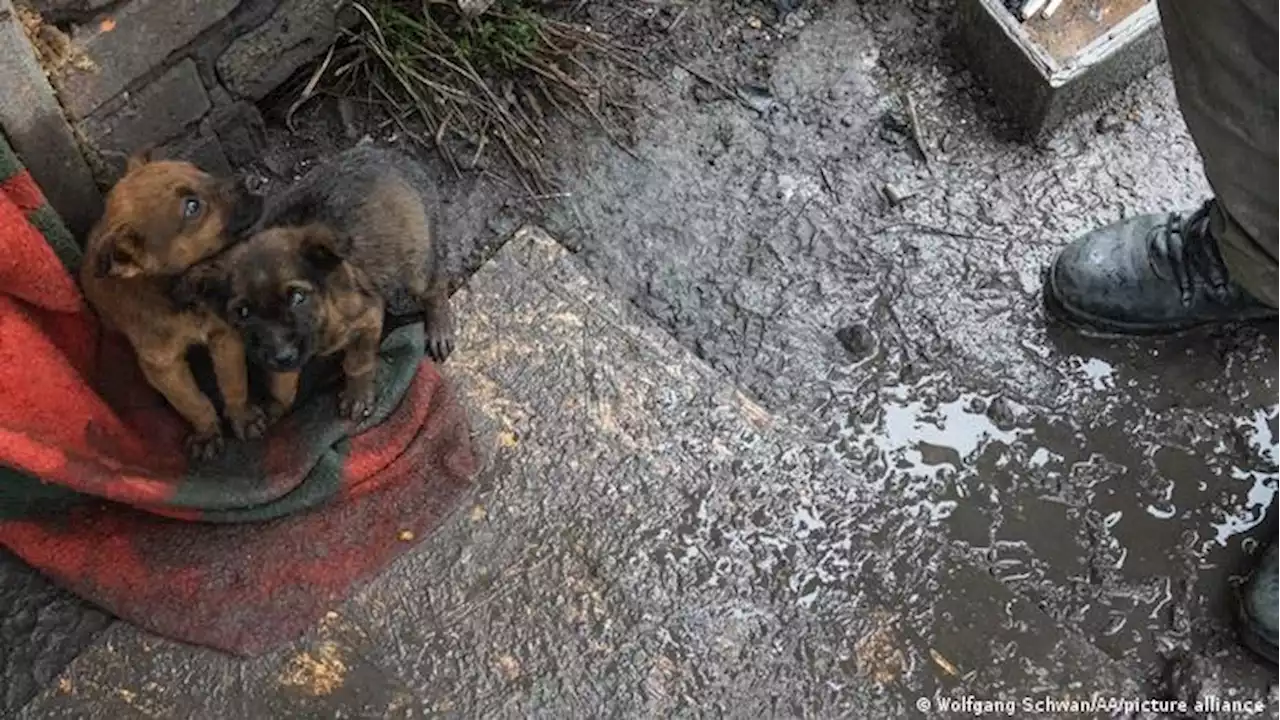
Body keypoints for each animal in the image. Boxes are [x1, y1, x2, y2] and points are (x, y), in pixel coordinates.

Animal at [80, 151, 264, 456]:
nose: (256, 179)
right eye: (192, 207)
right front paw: (206, 433)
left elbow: (233, 381)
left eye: (201, 171)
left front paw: (243, 416)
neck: (181, 292)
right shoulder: (162, 365)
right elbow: (191, 402)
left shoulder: (224, 333)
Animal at [172, 142, 455, 417]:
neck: (325, 311)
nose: (283, 356)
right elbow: (282, 385)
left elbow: (358, 363)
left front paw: (357, 395)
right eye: (243, 312)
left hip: (417, 262)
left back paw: (439, 328)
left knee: (436, 287)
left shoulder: (369, 318)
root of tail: (389, 154)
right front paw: (278, 406)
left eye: (298, 297)